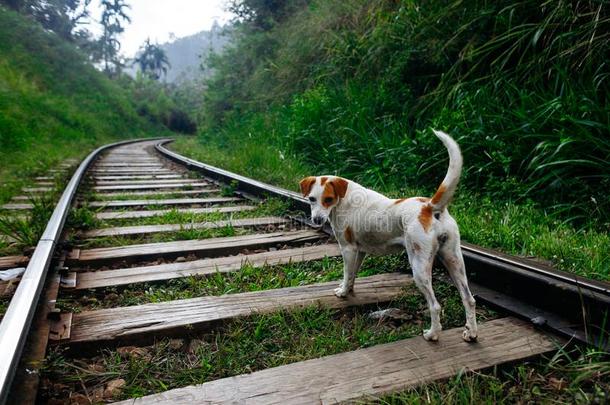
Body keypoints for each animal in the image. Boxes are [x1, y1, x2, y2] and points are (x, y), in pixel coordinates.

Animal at [298, 130, 476, 340]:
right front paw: (349, 290)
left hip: (420, 267)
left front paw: (342, 292)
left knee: (435, 305)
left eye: (328, 199)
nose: (317, 220)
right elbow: (352, 275)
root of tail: (429, 207)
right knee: (469, 299)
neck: (343, 199)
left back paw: (432, 334)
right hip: (454, 260)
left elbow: (347, 273)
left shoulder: (348, 249)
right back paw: (471, 333)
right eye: (312, 199)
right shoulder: (359, 251)